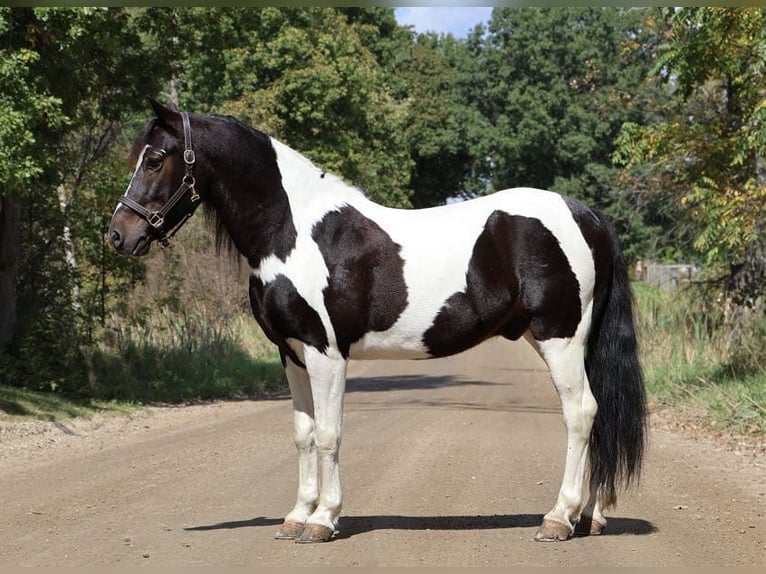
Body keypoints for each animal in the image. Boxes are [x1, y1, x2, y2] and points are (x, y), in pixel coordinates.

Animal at [108, 98, 646, 544]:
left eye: (155, 159)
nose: (118, 235)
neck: (292, 232)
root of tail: (586, 215)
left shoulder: (326, 353)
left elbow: (329, 433)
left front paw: (323, 521)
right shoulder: (291, 353)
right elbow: (303, 434)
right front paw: (296, 516)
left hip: (560, 338)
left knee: (580, 414)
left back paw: (559, 519)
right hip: (566, 340)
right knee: (596, 415)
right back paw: (590, 517)